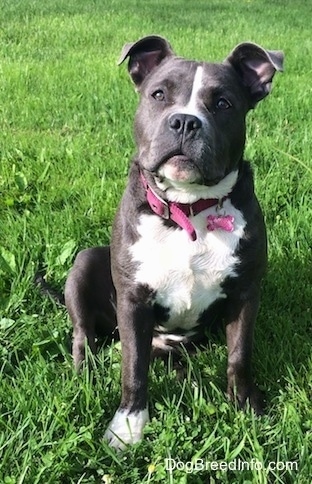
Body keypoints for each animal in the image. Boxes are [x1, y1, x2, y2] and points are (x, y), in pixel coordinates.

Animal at [62, 36, 282, 450]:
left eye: (223, 103)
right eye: (159, 94)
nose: (184, 121)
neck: (187, 209)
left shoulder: (246, 293)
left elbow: (239, 354)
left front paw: (247, 406)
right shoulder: (134, 300)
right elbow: (133, 367)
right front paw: (128, 426)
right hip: (85, 263)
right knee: (84, 335)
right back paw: (85, 374)